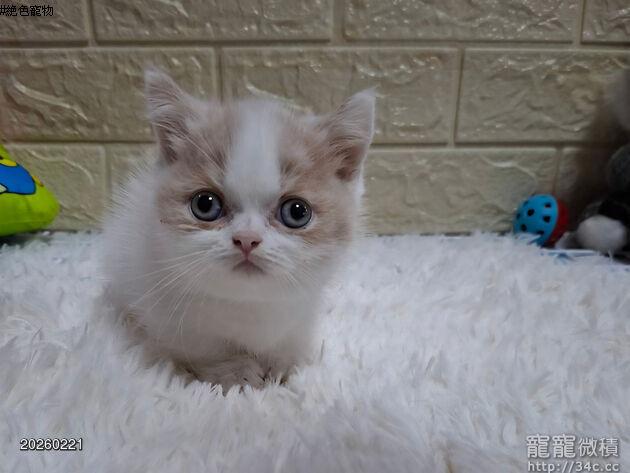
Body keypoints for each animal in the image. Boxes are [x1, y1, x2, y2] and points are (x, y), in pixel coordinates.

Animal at [103, 69, 375, 391]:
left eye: (297, 212)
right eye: (205, 205)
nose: (247, 239)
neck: (248, 305)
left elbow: (290, 336)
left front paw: (283, 362)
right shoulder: (160, 303)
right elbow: (198, 346)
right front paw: (233, 370)